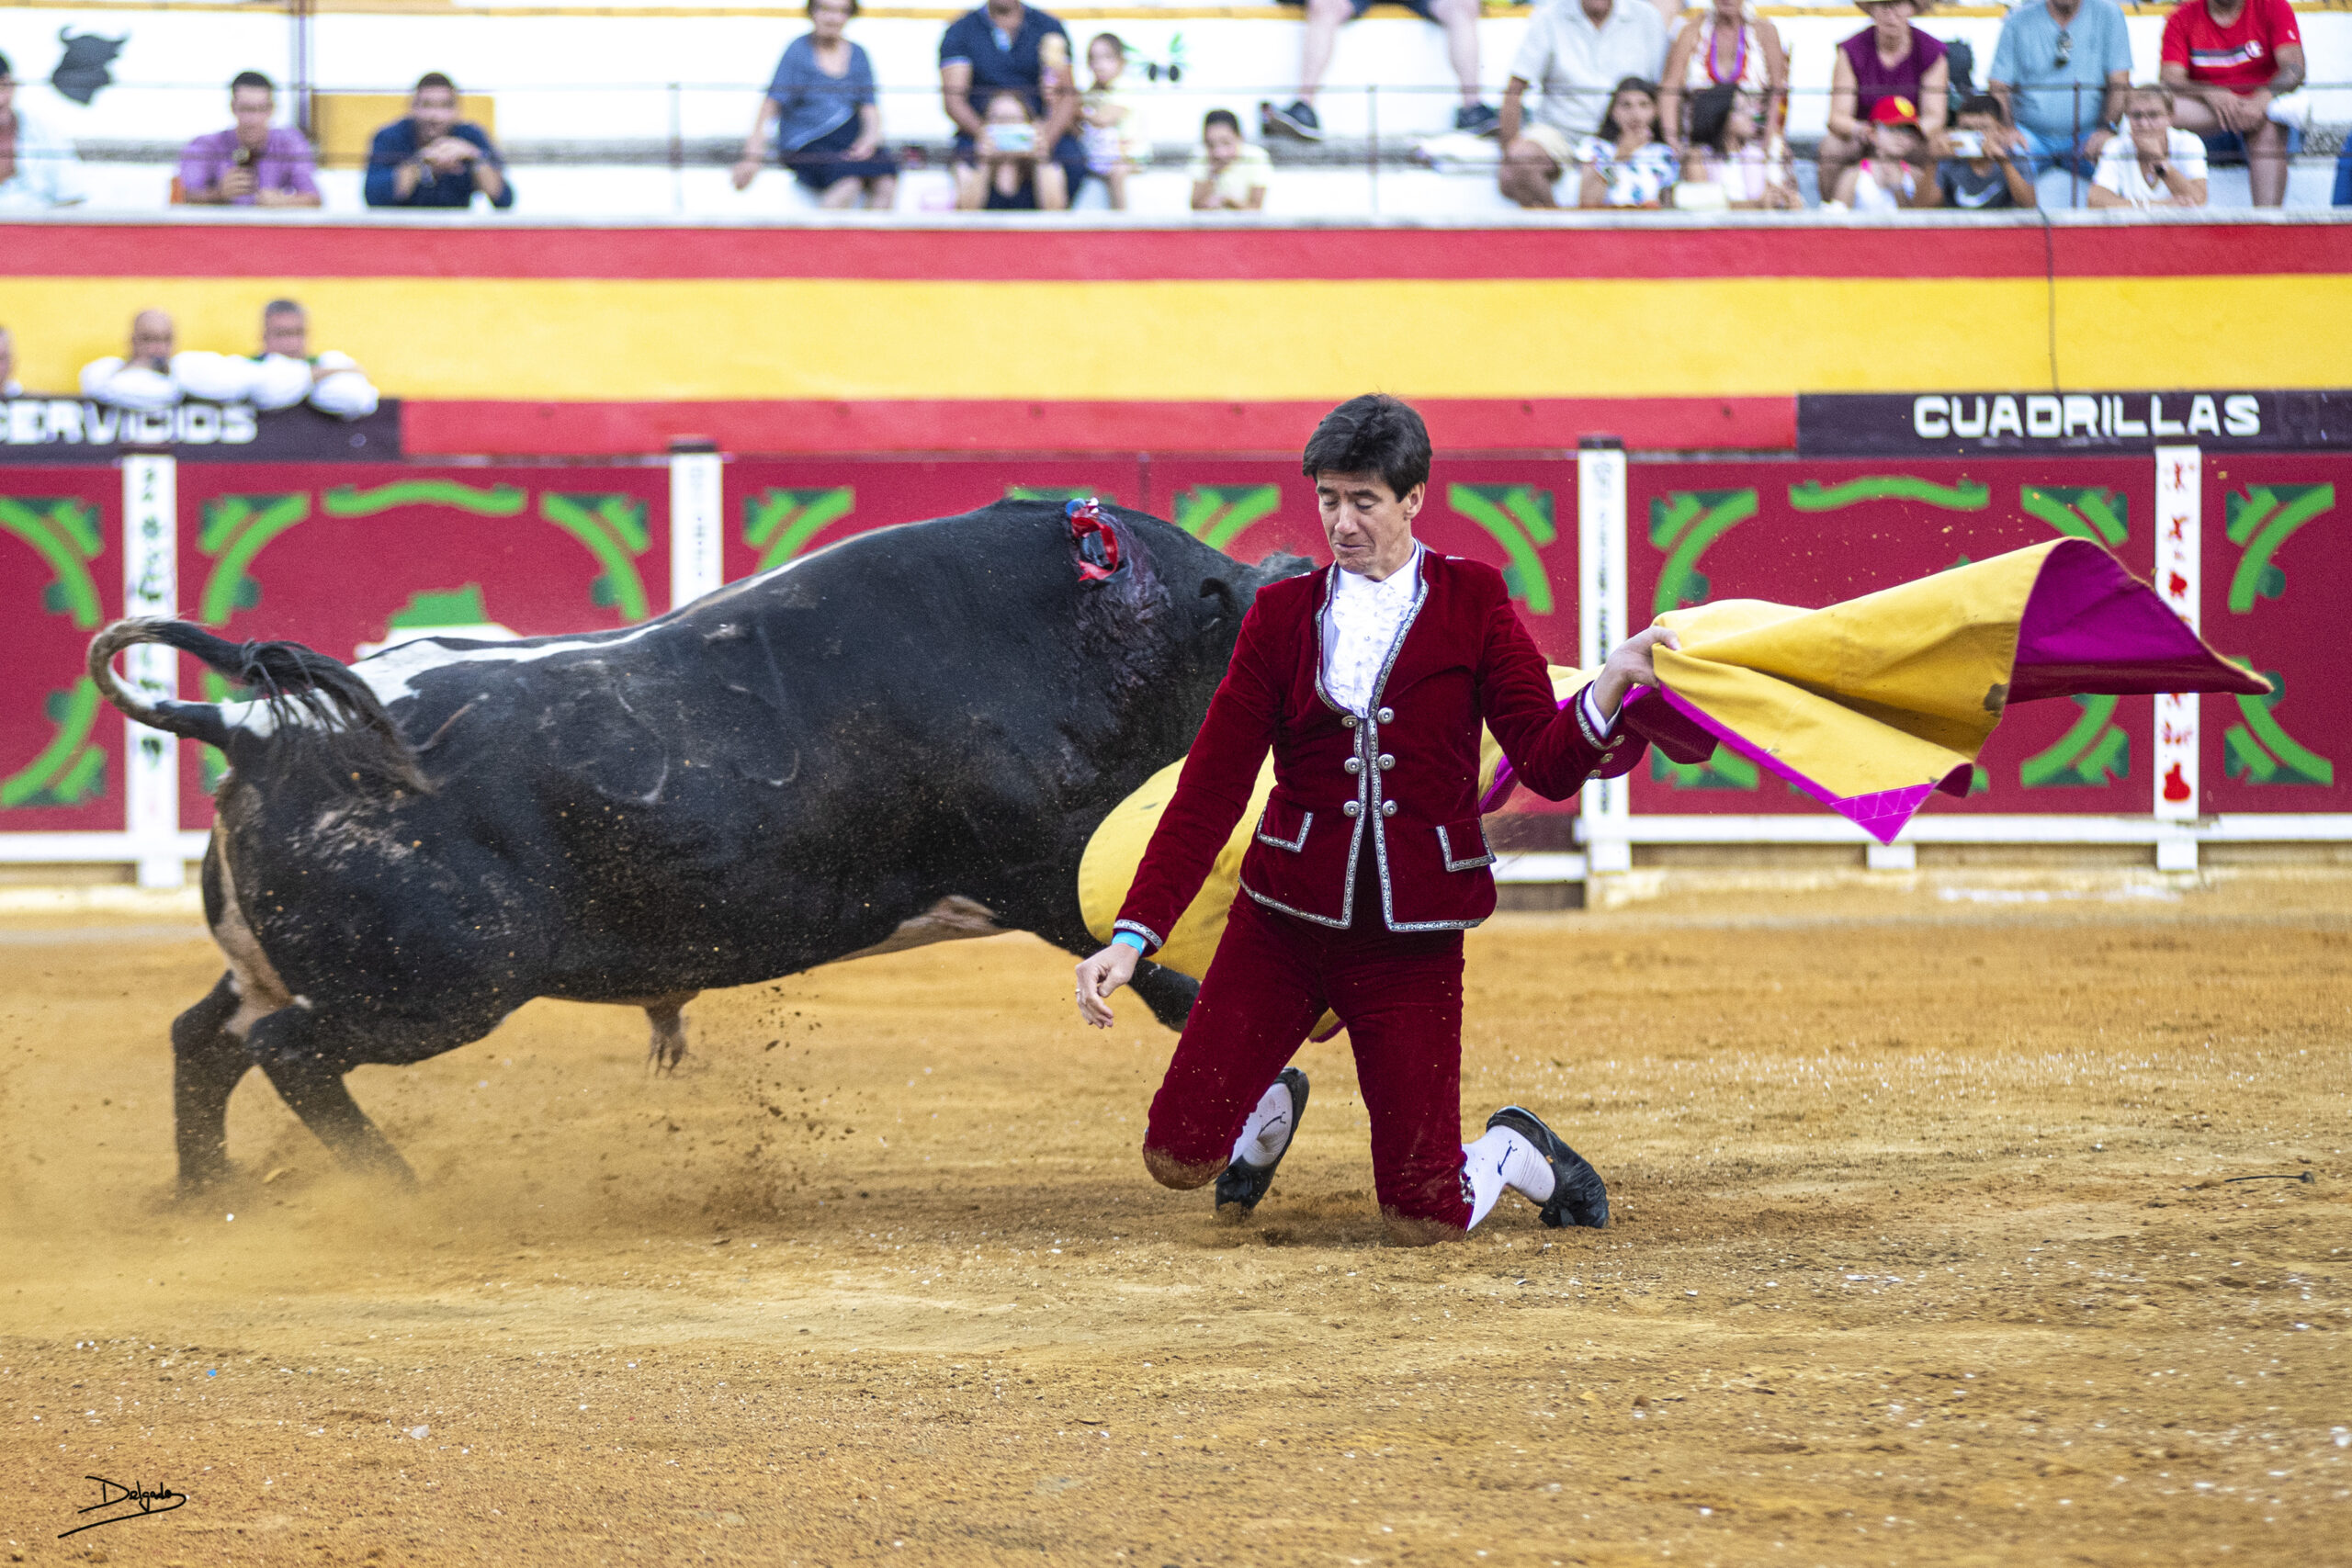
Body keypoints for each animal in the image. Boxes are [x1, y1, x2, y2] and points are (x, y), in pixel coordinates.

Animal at [86, 502, 1307, 1189]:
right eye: (1245, 628)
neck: (1077, 631)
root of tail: (248, 726)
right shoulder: (1046, 863)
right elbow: (1160, 968)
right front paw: (1269, 1094)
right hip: (444, 985)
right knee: (286, 1049)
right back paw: (391, 1190)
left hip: (299, 966)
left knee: (206, 1038)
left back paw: (208, 1196)